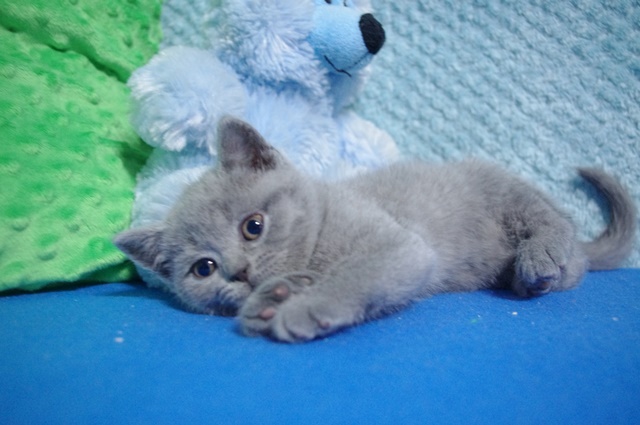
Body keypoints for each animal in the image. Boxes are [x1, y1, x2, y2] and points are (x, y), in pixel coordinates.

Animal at [115, 117, 637, 342]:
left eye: (253, 227)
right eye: (204, 269)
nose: (239, 272)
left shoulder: (398, 244)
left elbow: (358, 274)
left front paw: (305, 306)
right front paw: (274, 297)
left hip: (502, 188)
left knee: (553, 222)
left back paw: (540, 258)